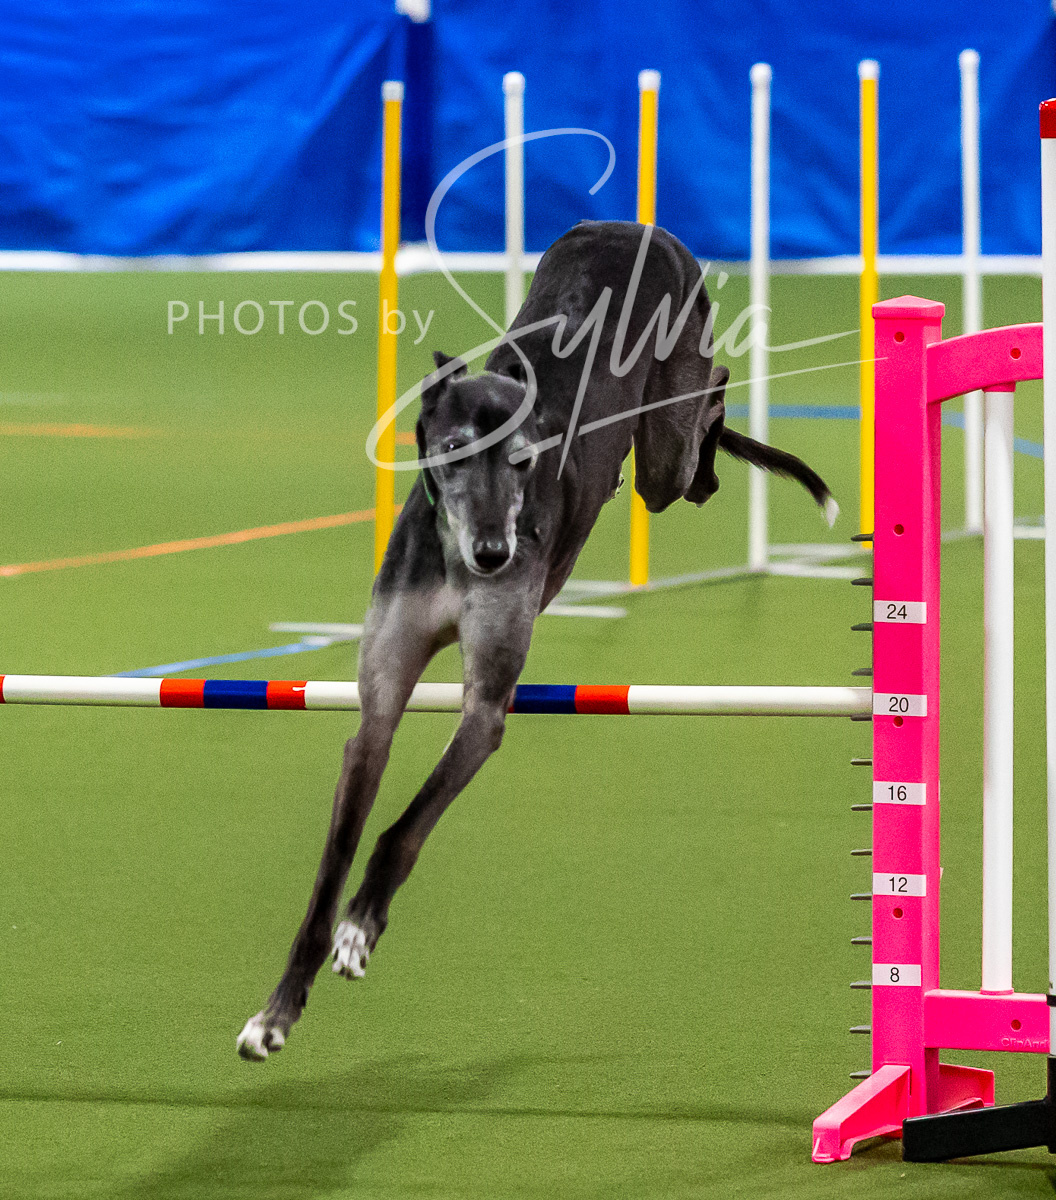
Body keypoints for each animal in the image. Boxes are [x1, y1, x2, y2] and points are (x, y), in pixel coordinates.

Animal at [237, 220, 835, 1059]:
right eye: (453, 448)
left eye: (522, 460)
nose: (495, 555)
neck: (454, 554)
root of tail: (632, 225)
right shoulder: (376, 708)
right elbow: (333, 860)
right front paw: (280, 1007)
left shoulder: (485, 710)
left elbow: (405, 827)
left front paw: (362, 928)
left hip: (665, 438)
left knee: (704, 408)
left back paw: (715, 426)